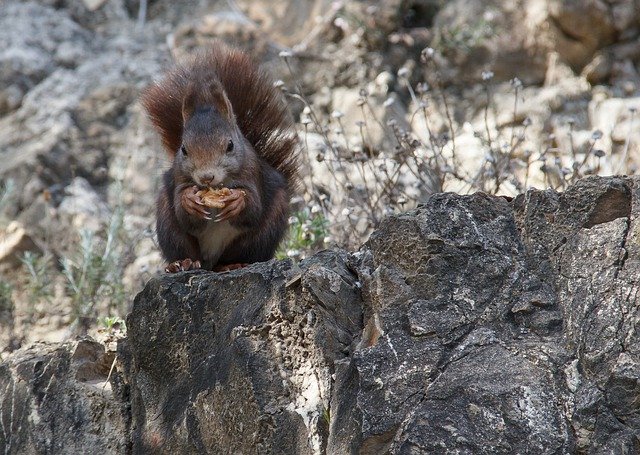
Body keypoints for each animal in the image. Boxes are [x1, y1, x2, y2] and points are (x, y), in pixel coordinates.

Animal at [140, 42, 298, 272]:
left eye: (230, 146)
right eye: (183, 149)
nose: (206, 177)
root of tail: (211, 261)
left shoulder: (253, 172)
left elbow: (253, 208)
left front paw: (237, 200)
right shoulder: (179, 176)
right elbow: (183, 212)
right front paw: (189, 200)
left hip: (265, 230)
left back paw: (232, 264)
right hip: (168, 224)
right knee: (182, 245)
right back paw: (182, 263)